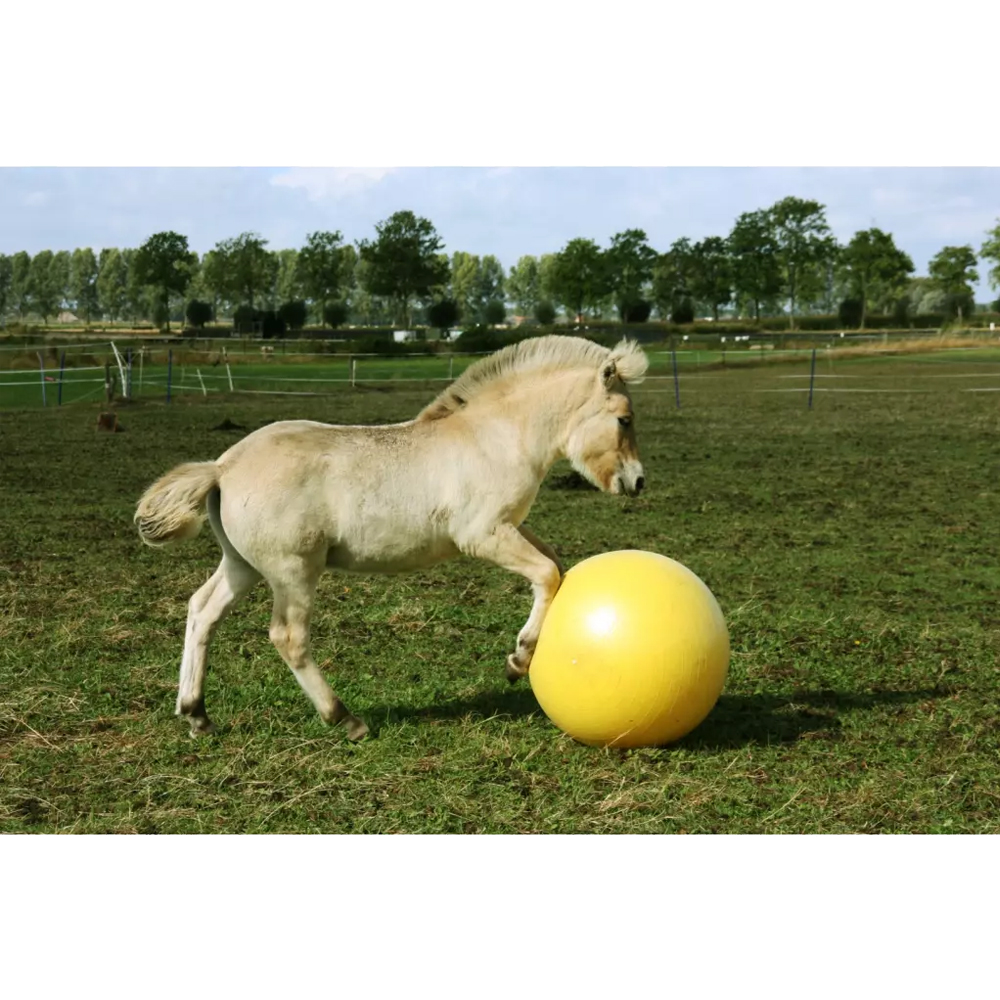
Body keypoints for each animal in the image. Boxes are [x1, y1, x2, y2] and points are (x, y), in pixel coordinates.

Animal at [135, 335, 648, 740]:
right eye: (624, 419)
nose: (638, 481)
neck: (494, 437)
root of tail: (222, 467)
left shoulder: (510, 526)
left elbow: (556, 563)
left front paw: (519, 656)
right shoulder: (482, 535)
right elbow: (546, 574)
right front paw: (519, 659)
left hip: (242, 565)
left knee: (202, 611)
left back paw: (196, 714)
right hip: (293, 569)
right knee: (288, 636)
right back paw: (345, 719)